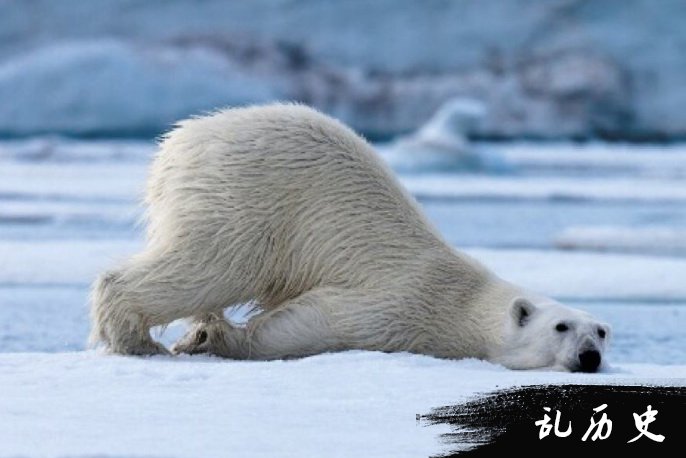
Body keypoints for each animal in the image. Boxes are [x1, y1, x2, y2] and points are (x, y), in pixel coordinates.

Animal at [91, 104, 612, 372]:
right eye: (561, 326)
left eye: (602, 331)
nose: (589, 357)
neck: (462, 299)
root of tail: (179, 141)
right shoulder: (398, 305)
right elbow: (314, 323)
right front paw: (215, 339)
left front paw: (206, 334)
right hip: (243, 198)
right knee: (211, 265)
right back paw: (138, 340)